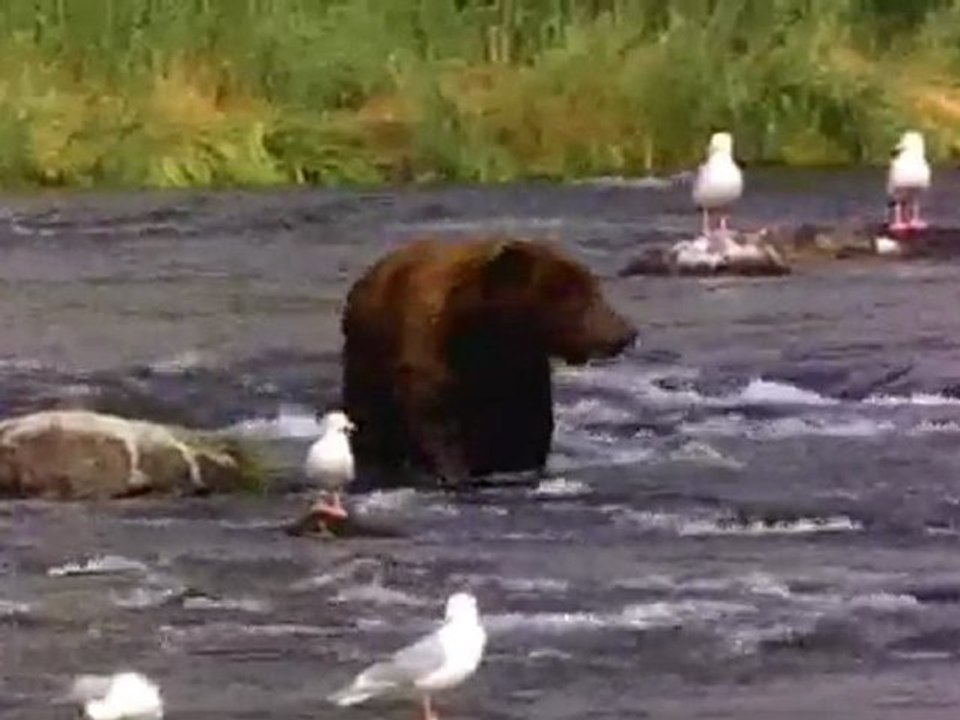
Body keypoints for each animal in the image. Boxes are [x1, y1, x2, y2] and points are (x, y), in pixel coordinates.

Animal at [340, 236, 637, 488]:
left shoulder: (518, 373)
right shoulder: (431, 356)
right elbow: (434, 420)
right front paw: (453, 472)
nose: (626, 334)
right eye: (576, 296)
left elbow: (524, 429)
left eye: (596, 290)